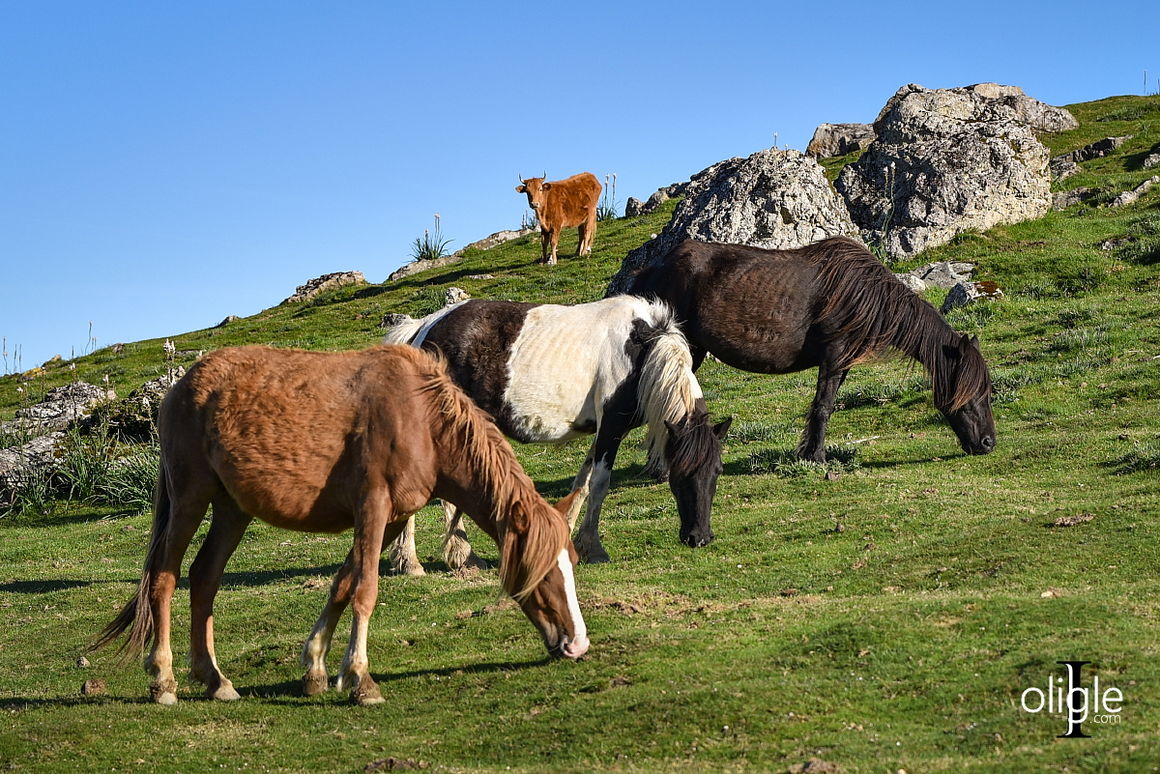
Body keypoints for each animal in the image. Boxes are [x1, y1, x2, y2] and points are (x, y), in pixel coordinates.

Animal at [88, 345, 589, 710]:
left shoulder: (392, 518)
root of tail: (180, 387)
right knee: (164, 579)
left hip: (232, 510)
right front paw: (361, 680)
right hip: (191, 499)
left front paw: (316, 668)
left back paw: (215, 680)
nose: (578, 645)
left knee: (204, 577)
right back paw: (163, 680)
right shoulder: (372, 507)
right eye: (543, 571)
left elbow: (343, 585)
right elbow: (365, 590)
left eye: (571, 564)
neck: (422, 420)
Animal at [382, 293, 723, 566]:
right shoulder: (611, 426)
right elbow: (599, 484)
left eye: (717, 470)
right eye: (681, 473)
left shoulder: (607, 430)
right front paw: (595, 549)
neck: (642, 346)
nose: (699, 538)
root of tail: (424, 327)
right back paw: (422, 560)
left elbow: (582, 484)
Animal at [617, 237, 997, 459]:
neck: (864, 293)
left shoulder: (842, 364)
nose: (988, 443)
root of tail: (654, 268)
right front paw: (816, 458)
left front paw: (808, 453)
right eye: (973, 393)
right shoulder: (833, 357)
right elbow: (823, 407)